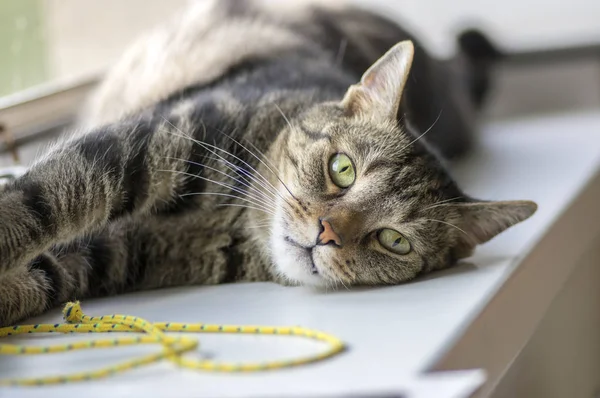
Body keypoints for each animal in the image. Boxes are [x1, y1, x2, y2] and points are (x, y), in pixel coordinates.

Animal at [0, 0, 536, 326]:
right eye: (342, 169)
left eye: (394, 240)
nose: (326, 232)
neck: (234, 217)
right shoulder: (139, 145)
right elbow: (35, 203)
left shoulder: (114, 252)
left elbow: (42, 273)